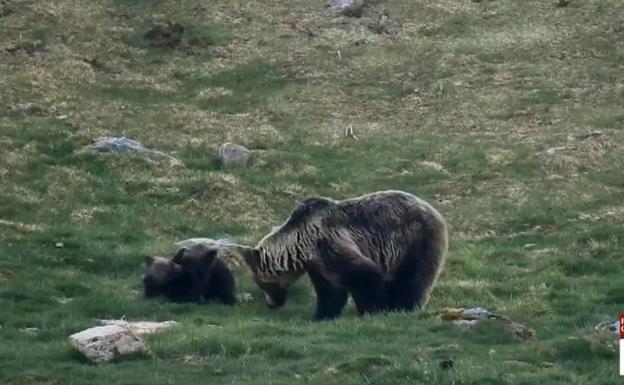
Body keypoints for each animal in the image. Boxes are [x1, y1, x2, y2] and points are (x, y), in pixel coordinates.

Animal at [234, 190, 448, 320]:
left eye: (262, 284)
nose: (271, 304)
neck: (298, 244)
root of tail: (435, 212)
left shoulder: (328, 243)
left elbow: (363, 274)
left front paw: (373, 309)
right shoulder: (318, 263)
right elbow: (330, 290)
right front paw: (322, 314)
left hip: (414, 241)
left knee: (413, 278)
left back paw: (405, 306)